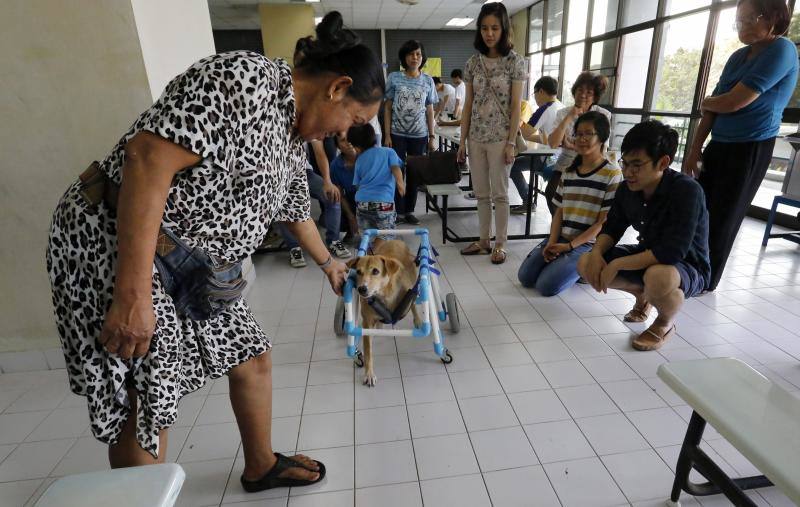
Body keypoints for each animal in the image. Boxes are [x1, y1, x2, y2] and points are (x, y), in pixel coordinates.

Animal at [346, 240, 422, 386]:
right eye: (358, 271)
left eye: (375, 271)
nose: (361, 289)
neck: (383, 295)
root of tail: (395, 240)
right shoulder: (367, 324)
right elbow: (368, 352)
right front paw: (369, 374)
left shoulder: (408, 294)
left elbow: (412, 302)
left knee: (414, 303)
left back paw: (418, 320)